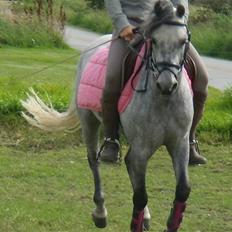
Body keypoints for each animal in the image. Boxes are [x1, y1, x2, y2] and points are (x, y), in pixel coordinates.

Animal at [21, 0, 192, 231]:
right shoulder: (142, 149)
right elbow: (140, 195)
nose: (167, 84)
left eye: (183, 41)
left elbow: (182, 189)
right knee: (94, 162)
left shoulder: (179, 143)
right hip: (89, 123)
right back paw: (100, 213)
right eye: (154, 41)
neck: (163, 101)